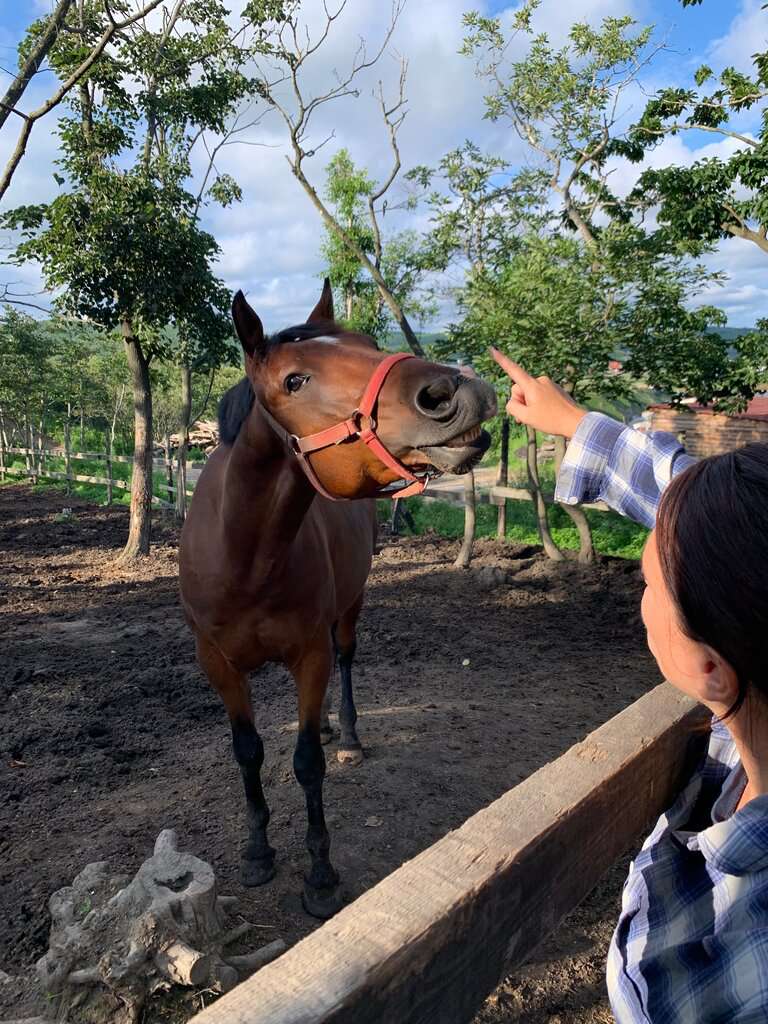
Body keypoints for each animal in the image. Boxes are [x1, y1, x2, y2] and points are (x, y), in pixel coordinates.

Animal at [179, 281, 497, 918]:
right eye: (294, 380)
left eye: (370, 343)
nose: (456, 391)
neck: (243, 557)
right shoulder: (218, 665)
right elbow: (247, 751)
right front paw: (257, 851)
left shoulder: (310, 655)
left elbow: (306, 762)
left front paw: (320, 875)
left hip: (349, 610)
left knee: (345, 660)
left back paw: (344, 733)